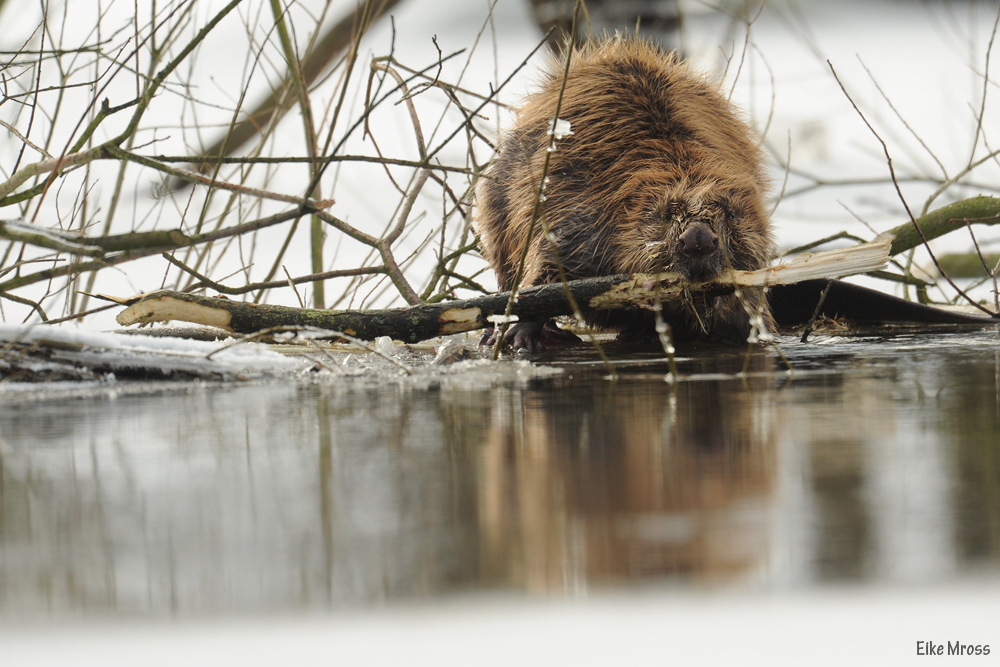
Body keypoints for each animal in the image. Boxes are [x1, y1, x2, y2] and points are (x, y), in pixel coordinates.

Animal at [476, 37, 772, 352]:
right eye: (664, 214)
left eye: (731, 213)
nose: (698, 239)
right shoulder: (579, 212)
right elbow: (548, 271)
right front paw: (520, 334)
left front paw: (752, 331)